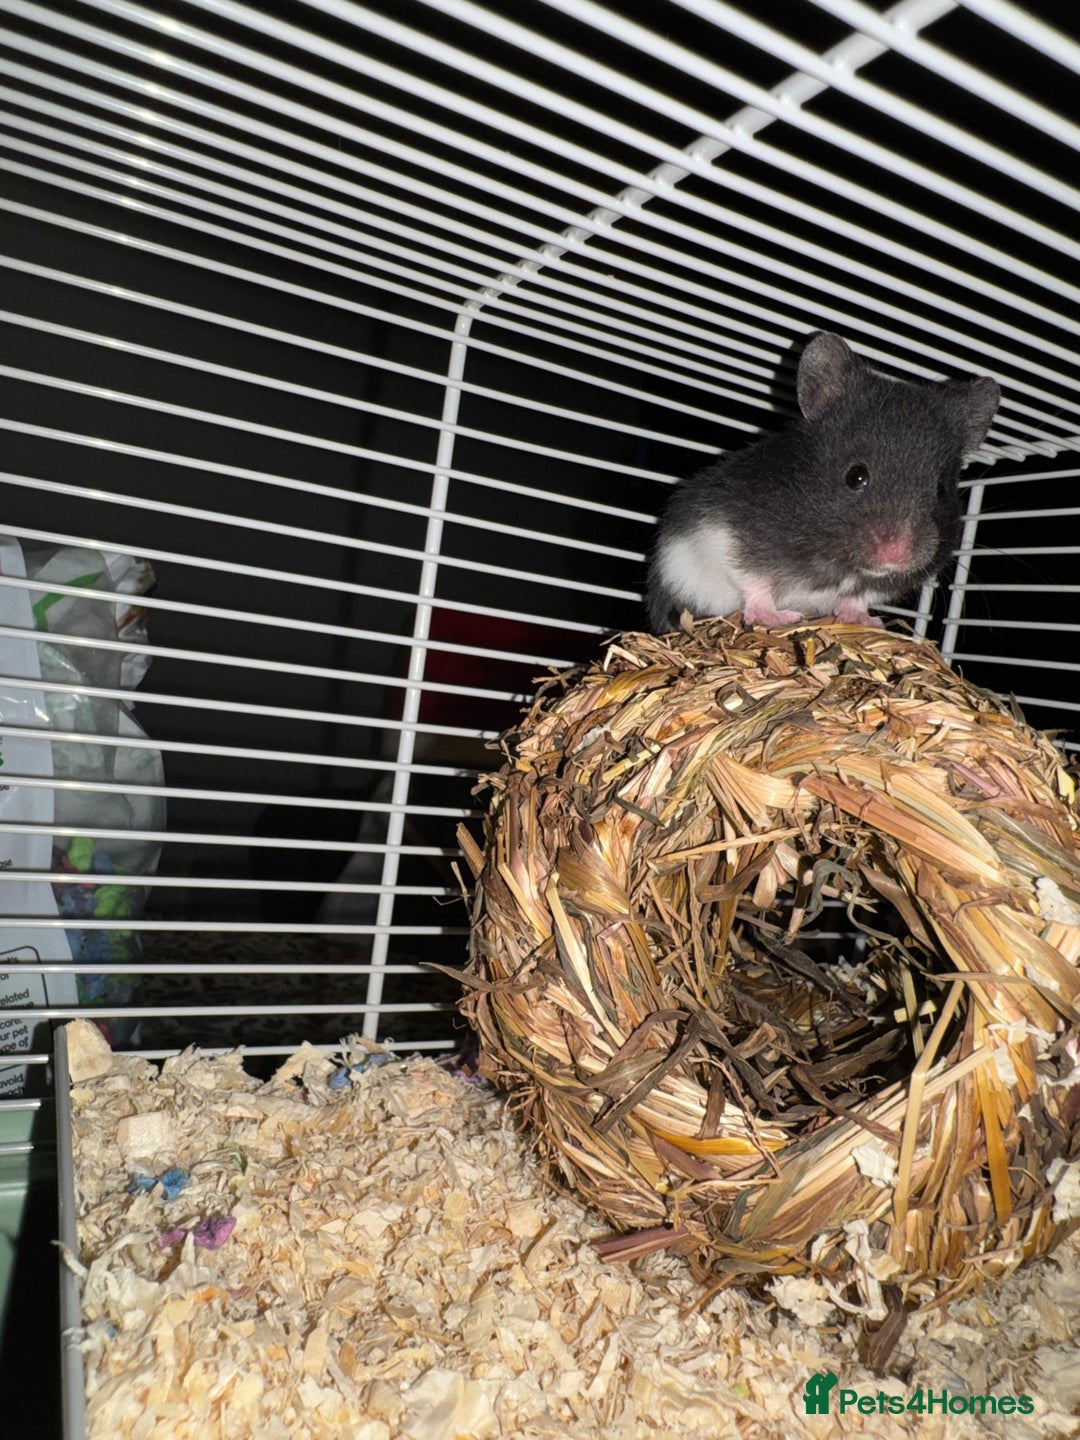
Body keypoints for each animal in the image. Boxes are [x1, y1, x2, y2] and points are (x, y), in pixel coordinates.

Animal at [646, 332, 1001, 632]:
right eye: (855, 476)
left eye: (941, 490)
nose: (896, 555)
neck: (844, 567)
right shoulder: (729, 533)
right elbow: (755, 581)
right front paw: (779, 617)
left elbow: (859, 598)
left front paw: (868, 621)